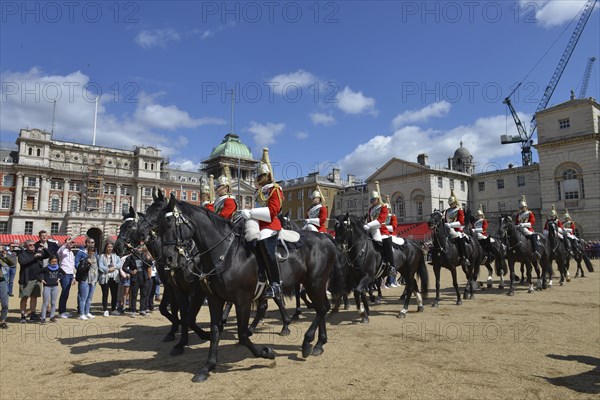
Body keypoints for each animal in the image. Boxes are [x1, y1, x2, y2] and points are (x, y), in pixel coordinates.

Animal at [156, 194, 342, 382]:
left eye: (170, 224)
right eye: (158, 227)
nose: (168, 260)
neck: (226, 253)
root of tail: (325, 238)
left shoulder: (241, 300)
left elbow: (243, 334)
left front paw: (266, 352)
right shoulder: (214, 299)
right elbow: (215, 331)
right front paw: (207, 367)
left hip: (315, 282)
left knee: (322, 308)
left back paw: (307, 341)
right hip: (314, 284)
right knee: (321, 308)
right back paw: (319, 343)